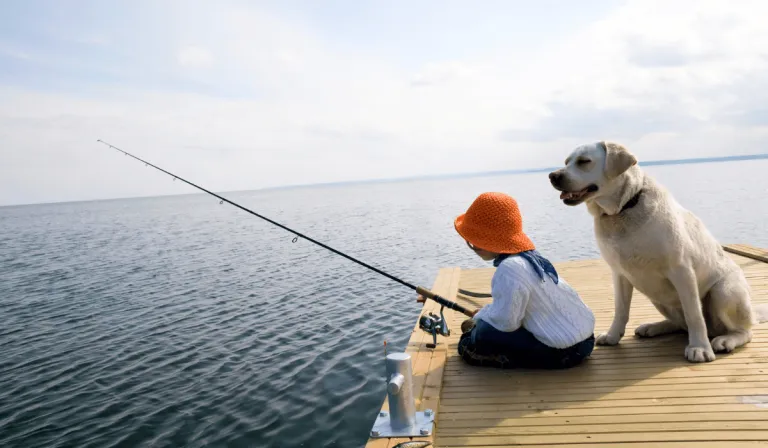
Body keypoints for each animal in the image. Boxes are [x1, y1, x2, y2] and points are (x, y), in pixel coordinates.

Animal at [544, 142, 768, 362]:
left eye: (584, 161)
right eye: (566, 162)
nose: (553, 176)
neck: (624, 207)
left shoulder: (681, 270)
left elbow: (694, 314)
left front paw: (699, 348)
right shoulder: (620, 274)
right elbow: (621, 310)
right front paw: (613, 335)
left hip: (724, 291)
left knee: (743, 330)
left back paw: (725, 340)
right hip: (659, 298)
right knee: (680, 324)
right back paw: (654, 327)